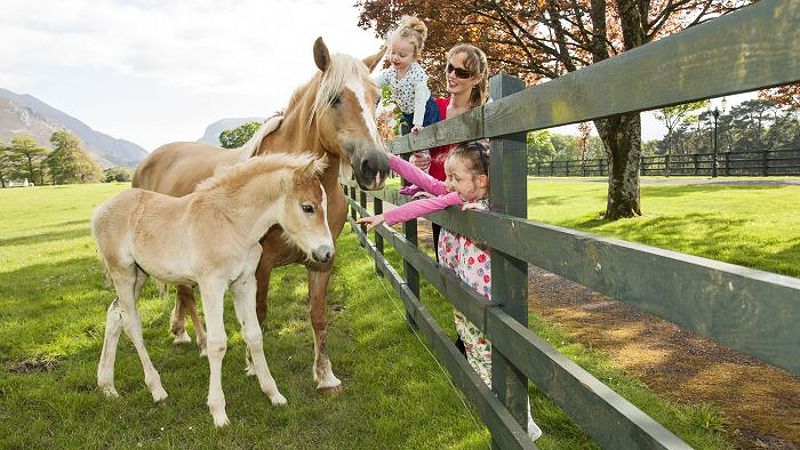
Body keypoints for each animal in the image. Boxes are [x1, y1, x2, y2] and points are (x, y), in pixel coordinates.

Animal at [92, 153, 330, 428]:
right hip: (123, 273)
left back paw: (107, 386)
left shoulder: (245, 283)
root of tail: (99, 210)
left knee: (114, 315)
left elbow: (254, 335)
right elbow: (217, 343)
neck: (232, 224)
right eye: (308, 207)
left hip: (139, 274)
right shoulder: (212, 285)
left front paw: (273, 394)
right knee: (132, 324)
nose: (326, 253)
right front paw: (218, 412)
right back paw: (156, 389)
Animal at [131, 37, 388, 394]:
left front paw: (325, 376)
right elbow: (259, 316)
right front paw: (254, 367)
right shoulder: (259, 266)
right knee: (186, 294)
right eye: (334, 98)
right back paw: (200, 340)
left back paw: (182, 332)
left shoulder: (322, 261)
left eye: (376, 98)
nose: (375, 166)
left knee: (183, 290)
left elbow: (318, 316)